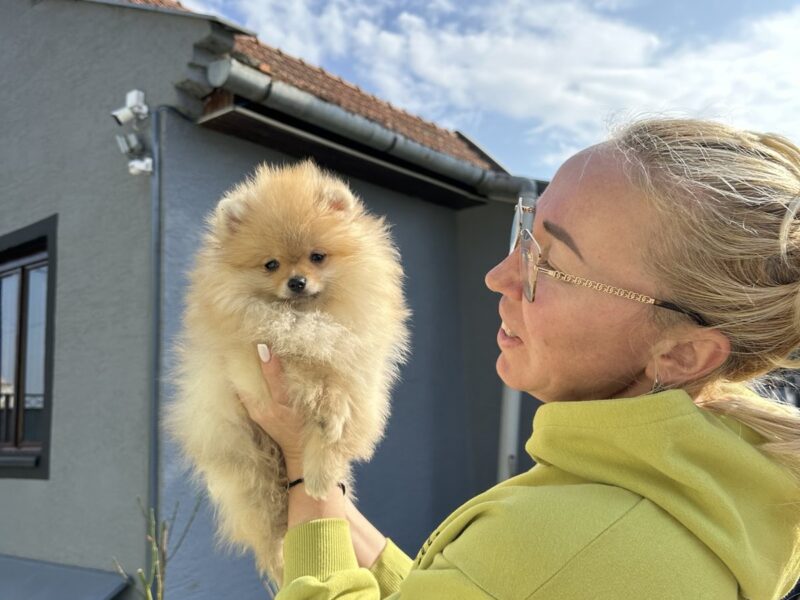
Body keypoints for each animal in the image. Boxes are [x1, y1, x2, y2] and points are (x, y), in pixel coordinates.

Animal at [165, 161, 410, 584]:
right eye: (271, 264)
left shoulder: (362, 377)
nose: (296, 281)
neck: (305, 316)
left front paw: (320, 475)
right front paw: (323, 404)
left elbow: (337, 418)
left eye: (317, 256)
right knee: (271, 537)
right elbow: (308, 370)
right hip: (249, 470)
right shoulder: (252, 363)